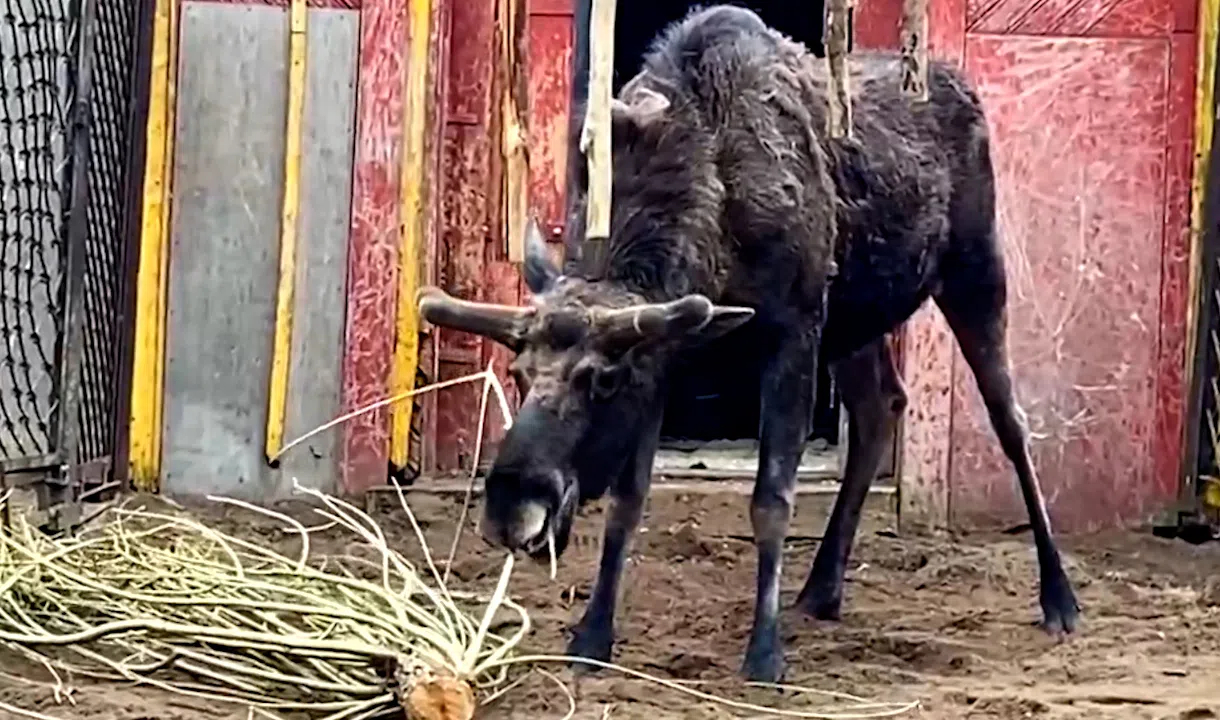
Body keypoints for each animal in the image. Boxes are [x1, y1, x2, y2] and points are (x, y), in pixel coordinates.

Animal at [419, 4, 1078, 683]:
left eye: (604, 378)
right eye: (518, 372)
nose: (510, 506)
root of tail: (961, 85)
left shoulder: (792, 332)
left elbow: (771, 501)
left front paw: (764, 651)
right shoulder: (669, 353)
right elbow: (628, 504)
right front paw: (592, 635)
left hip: (974, 268)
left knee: (1010, 420)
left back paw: (1058, 596)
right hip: (854, 320)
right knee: (882, 405)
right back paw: (821, 587)